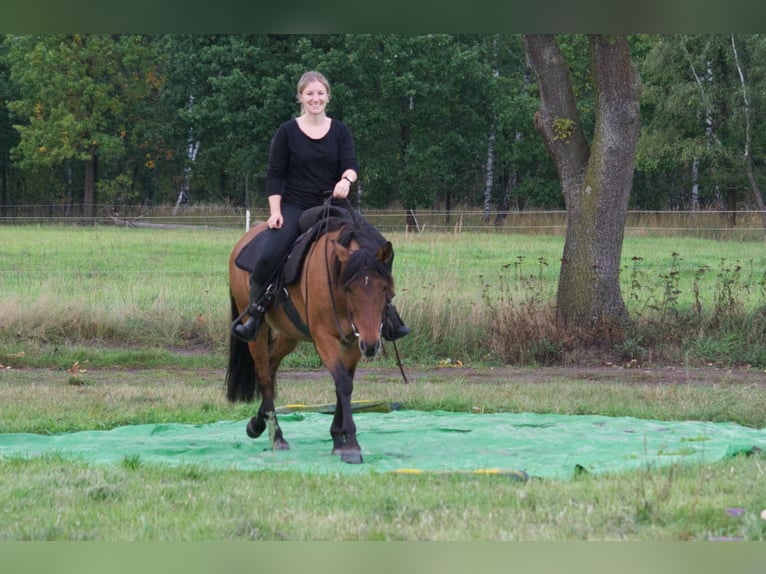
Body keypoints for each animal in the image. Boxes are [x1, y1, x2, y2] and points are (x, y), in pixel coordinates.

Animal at [225, 214, 396, 466]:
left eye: (384, 288)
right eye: (349, 288)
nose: (372, 345)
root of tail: (243, 240)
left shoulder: (354, 341)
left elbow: (345, 383)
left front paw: (338, 439)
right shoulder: (324, 337)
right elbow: (343, 383)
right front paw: (351, 445)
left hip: (289, 333)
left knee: (272, 364)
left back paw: (257, 424)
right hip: (256, 328)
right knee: (264, 374)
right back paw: (277, 438)